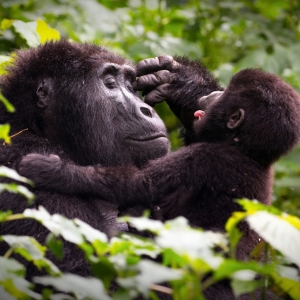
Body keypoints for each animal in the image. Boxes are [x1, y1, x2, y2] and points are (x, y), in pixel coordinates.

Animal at [19, 68, 300, 260]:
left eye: (223, 95)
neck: (244, 148)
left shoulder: (205, 157)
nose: (211, 94)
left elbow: (137, 184)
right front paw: (182, 80)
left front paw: (51, 171)